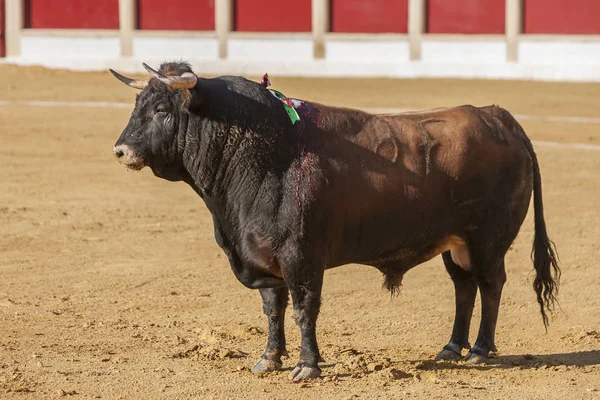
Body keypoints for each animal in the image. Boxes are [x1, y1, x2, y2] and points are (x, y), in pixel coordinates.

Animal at [110, 62, 560, 382]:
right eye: (137, 107)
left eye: (163, 110)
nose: (120, 150)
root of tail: (499, 118)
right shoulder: (262, 257)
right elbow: (273, 309)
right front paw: (269, 359)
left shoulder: (302, 257)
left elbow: (304, 308)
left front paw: (307, 366)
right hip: (455, 244)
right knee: (464, 288)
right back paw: (451, 348)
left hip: (487, 241)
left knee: (491, 285)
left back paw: (481, 350)